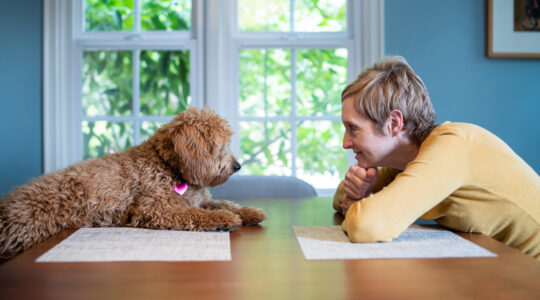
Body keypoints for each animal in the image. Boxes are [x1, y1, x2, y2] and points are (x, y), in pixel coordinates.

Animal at [0, 108, 266, 260]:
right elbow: (197, 215)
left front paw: (250, 212)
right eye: (220, 145)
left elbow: (225, 203)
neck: (169, 167)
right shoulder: (155, 209)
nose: (238, 166)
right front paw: (225, 219)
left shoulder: (200, 200)